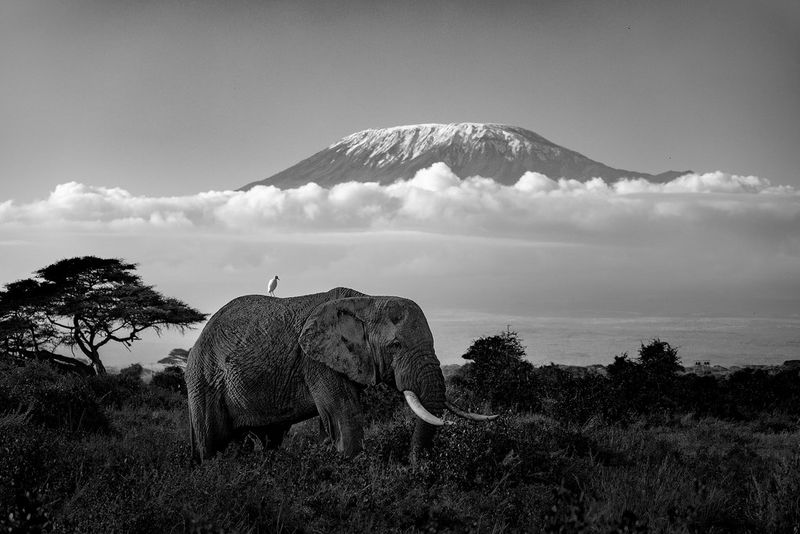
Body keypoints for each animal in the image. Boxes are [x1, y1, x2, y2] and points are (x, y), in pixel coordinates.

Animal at [186, 287, 495, 462]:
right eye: (395, 345)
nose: (417, 468)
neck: (368, 301)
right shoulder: (317, 361)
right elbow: (344, 414)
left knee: (269, 440)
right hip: (203, 378)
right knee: (211, 443)